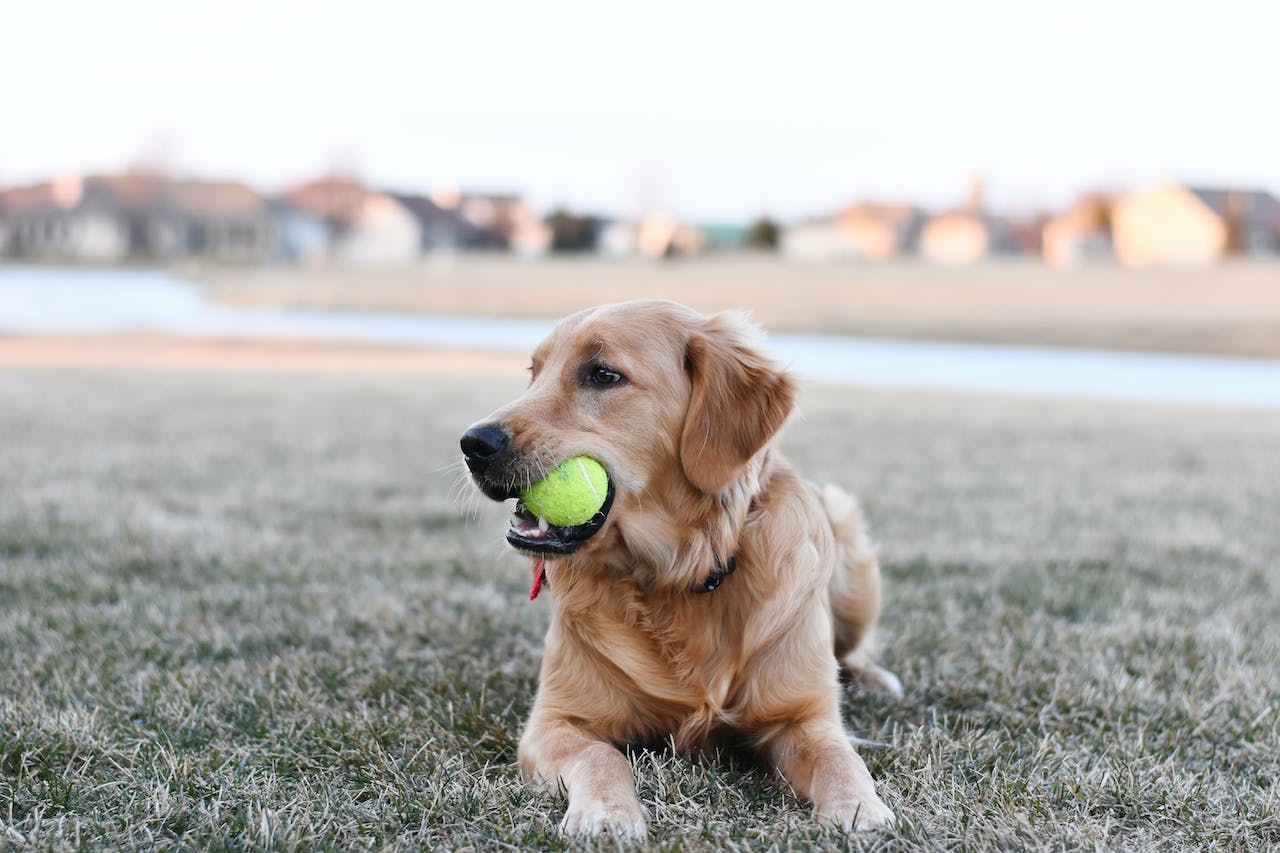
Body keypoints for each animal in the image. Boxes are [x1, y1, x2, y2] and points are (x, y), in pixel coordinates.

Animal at [463, 297, 901, 829]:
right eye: (535, 373)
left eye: (602, 374)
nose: (473, 443)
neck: (678, 574)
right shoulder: (556, 721)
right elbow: (600, 755)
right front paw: (607, 813)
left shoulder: (804, 717)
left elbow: (839, 757)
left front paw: (861, 809)